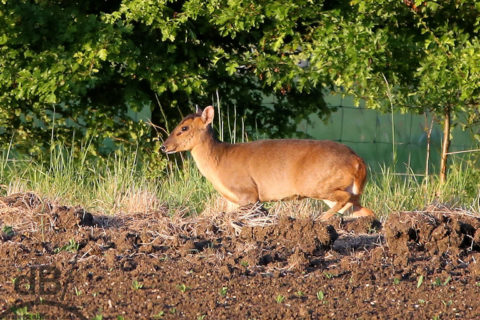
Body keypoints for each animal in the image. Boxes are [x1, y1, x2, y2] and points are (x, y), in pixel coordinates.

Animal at [161, 106, 376, 221]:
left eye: (184, 128)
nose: (164, 146)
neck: (219, 160)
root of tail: (358, 161)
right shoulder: (232, 200)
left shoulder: (247, 192)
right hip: (343, 189)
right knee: (365, 210)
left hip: (316, 183)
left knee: (344, 198)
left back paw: (321, 219)